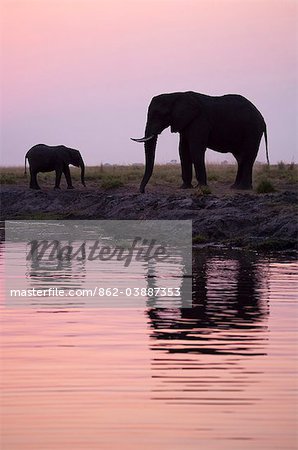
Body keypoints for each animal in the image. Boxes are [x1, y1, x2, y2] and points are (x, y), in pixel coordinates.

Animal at [132, 91, 268, 192]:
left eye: (159, 114)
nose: (142, 191)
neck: (176, 95)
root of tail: (262, 118)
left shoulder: (199, 121)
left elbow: (195, 149)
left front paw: (201, 187)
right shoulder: (185, 123)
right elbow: (183, 150)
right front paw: (185, 188)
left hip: (252, 130)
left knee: (247, 156)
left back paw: (243, 188)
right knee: (240, 158)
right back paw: (235, 187)